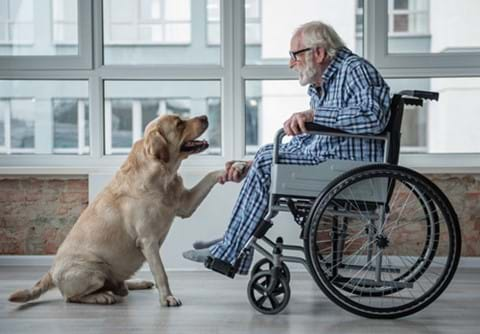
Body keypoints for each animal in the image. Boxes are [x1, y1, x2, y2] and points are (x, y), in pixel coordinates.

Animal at [9, 114, 223, 306]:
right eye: (179, 124)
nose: (205, 117)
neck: (162, 174)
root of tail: (51, 271)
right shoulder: (148, 240)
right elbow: (161, 272)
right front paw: (167, 298)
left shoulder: (185, 205)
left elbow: (210, 175)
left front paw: (230, 168)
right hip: (95, 270)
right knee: (71, 297)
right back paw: (101, 297)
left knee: (120, 286)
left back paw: (135, 283)